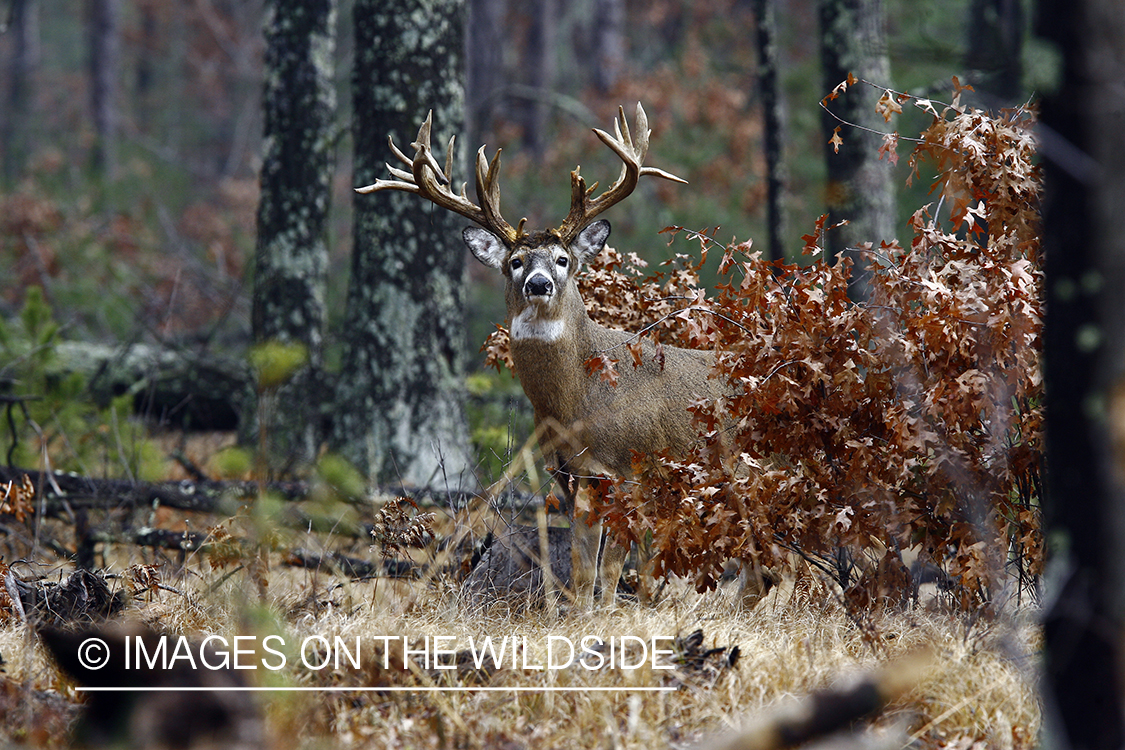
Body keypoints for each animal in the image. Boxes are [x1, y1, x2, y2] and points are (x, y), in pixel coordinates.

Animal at [357, 105, 765, 611]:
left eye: (563, 259)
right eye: (514, 261)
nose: (539, 283)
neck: (576, 402)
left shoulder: (628, 470)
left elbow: (610, 569)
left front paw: (607, 616)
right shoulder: (569, 473)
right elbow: (581, 567)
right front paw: (580, 617)